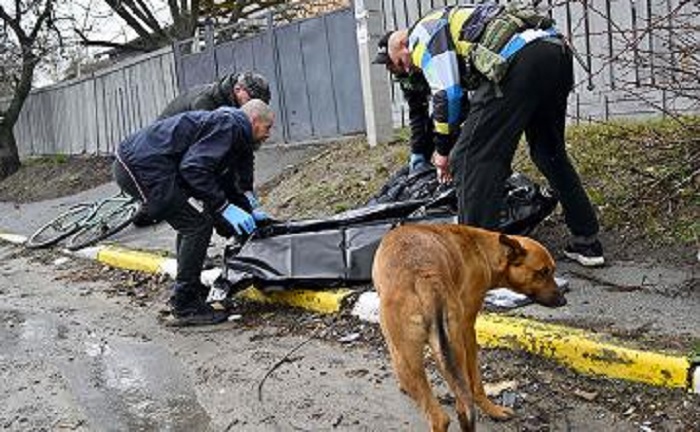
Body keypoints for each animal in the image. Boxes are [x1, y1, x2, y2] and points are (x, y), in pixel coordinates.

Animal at [374, 224, 568, 430]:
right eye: (542, 272)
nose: (563, 301)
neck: (483, 250)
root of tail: (425, 278)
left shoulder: (467, 329)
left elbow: (476, 381)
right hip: (448, 352)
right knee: (461, 406)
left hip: (412, 359)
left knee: (441, 416)